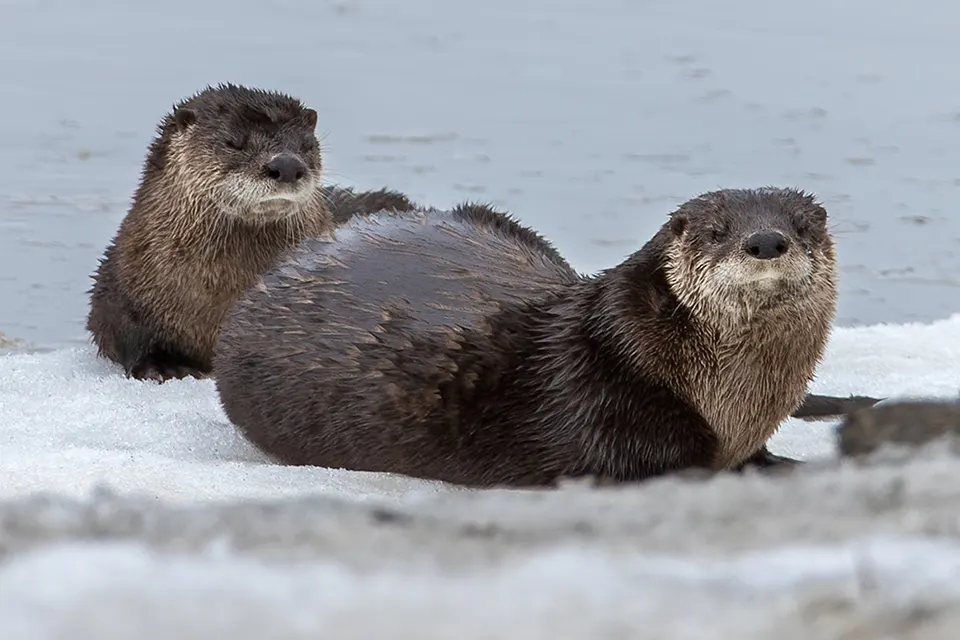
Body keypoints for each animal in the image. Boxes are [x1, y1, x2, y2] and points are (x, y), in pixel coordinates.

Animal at [85, 83, 415, 382]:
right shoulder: (118, 285)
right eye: (233, 142)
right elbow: (123, 332)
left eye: (307, 145)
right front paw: (163, 365)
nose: (287, 165)